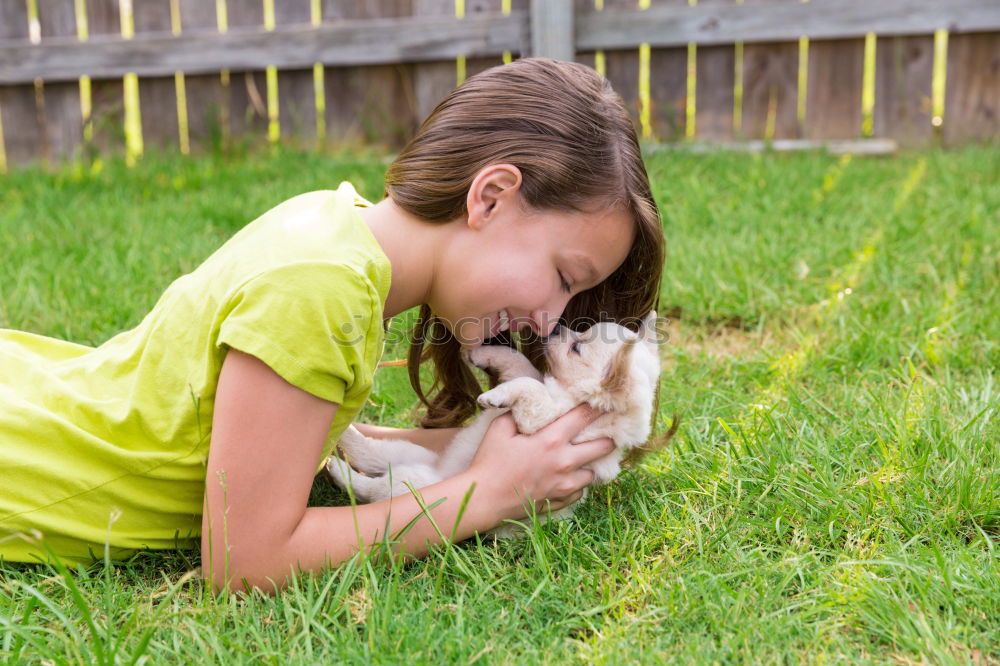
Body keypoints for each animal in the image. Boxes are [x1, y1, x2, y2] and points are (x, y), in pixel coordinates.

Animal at [324, 308, 660, 532]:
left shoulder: (542, 418)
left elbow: (531, 387)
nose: (555, 330)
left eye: (577, 348)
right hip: (408, 452)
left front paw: (495, 396)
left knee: (372, 489)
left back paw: (340, 469)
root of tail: (437, 472)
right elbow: (521, 365)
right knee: (373, 453)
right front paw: (482, 354)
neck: (571, 394)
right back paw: (345, 433)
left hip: (414, 489)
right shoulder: (532, 376)